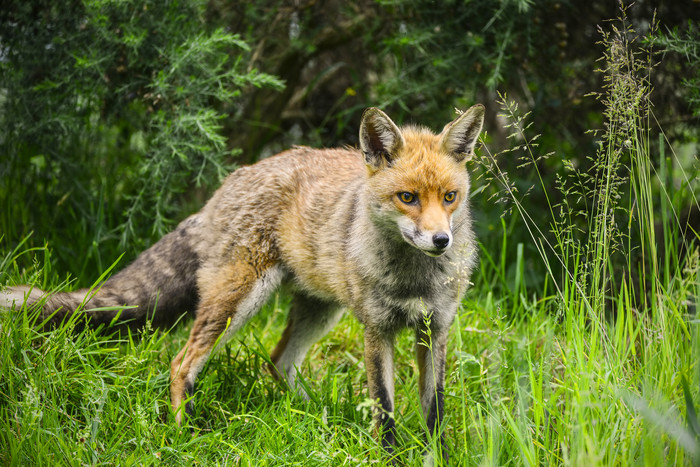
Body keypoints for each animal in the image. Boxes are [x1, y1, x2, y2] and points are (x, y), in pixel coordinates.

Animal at [4, 105, 486, 460]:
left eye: (450, 197)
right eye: (407, 198)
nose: (441, 240)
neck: (414, 280)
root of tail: (231, 179)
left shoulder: (436, 328)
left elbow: (435, 411)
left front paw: (439, 457)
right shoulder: (377, 329)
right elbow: (383, 409)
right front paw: (390, 456)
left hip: (319, 309)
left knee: (277, 362)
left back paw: (316, 416)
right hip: (237, 301)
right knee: (182, 364)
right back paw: (184, 438)